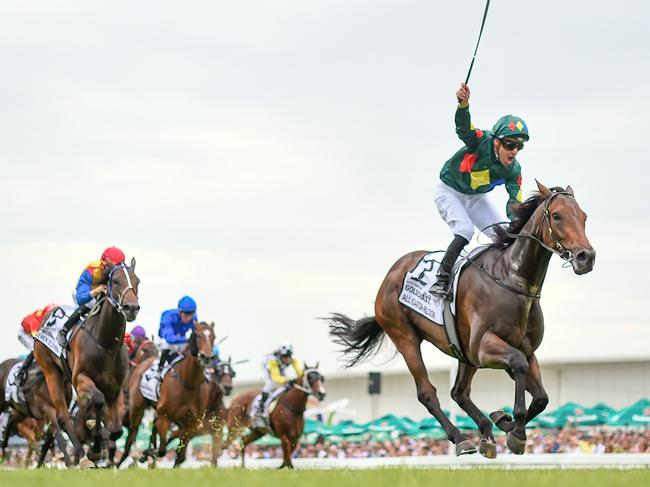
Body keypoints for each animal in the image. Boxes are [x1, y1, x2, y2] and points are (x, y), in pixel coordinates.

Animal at [33, 260, 139, 466]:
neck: (106, 344)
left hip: (66, 382)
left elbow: (116, 430)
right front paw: (94, 449)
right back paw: (82, 456)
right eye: (115, 281)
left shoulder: (116, 390)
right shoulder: (81, 379)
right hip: (51, 373)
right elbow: (97, 399)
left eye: (137, 281)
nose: (131, 307)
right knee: (63, 416)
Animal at [117, 322, 214, 468]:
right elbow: (163, 448)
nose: (206, 357)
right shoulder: (164, 416)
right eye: (198, 336)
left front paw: (151, 452)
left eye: (213, 336)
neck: (188, 383)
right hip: (137, 409)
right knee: (132, 435)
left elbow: (177, 444)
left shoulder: (193, 422)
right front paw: (148, 453)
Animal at [330, 181, 592, 460]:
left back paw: (486, 432)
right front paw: (517, 432)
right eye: (557, 215)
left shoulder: (525, 350)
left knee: (459, 392)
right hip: (405, 337)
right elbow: (519, 365)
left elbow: (541, 397)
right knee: (427, 393)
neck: (511, 280)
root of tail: (390, 274)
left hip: (464, 354)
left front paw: (505, 422)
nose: (586, 257)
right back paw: (461, 438)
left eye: (583, 216)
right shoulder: (484, 348)